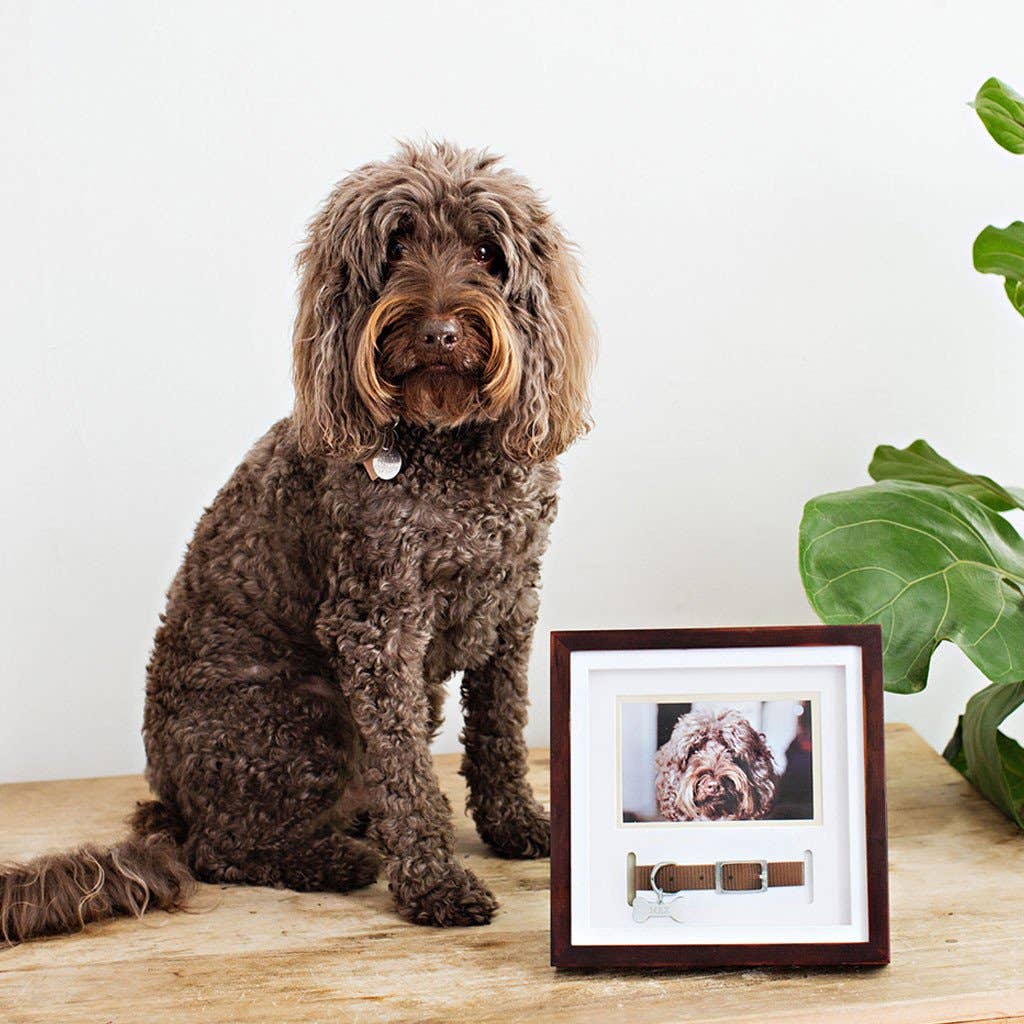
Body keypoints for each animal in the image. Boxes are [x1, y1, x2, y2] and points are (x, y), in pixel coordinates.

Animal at [2, 140, 593, 937]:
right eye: (396, 246)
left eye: (484, 252)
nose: (439, 331)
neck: (448, 447)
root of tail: (171, 810)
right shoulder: (376, 627)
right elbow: (406, 770)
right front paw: (435, 881)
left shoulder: (511, 605)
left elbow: (500, 728)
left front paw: (517, 825)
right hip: (303, 714)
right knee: (227, 848)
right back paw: (335, 858)